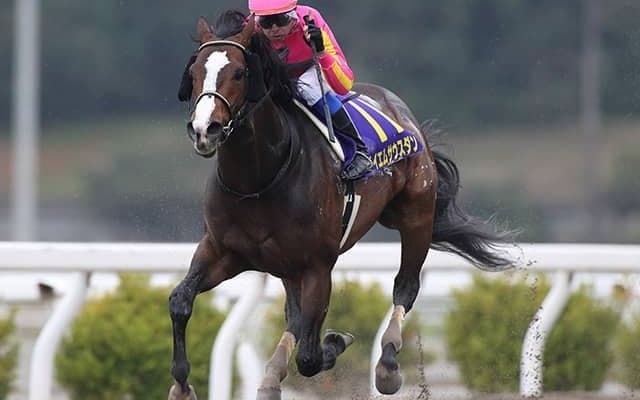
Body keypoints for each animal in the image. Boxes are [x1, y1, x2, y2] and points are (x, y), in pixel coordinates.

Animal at [168, 10, 515, 400]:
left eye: (240, 72)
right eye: (194, 72)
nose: (204, 130)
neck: (258, 180)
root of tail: (401, 110)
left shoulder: (317, 266)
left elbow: (310, 356)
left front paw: (337, 341)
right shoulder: (222, 251)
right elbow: (179, 301)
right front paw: (181, 386)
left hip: (415, 216)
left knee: (405, 287)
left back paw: (387, 365)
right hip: (287, 265)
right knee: (294, 316)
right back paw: (271, 378)